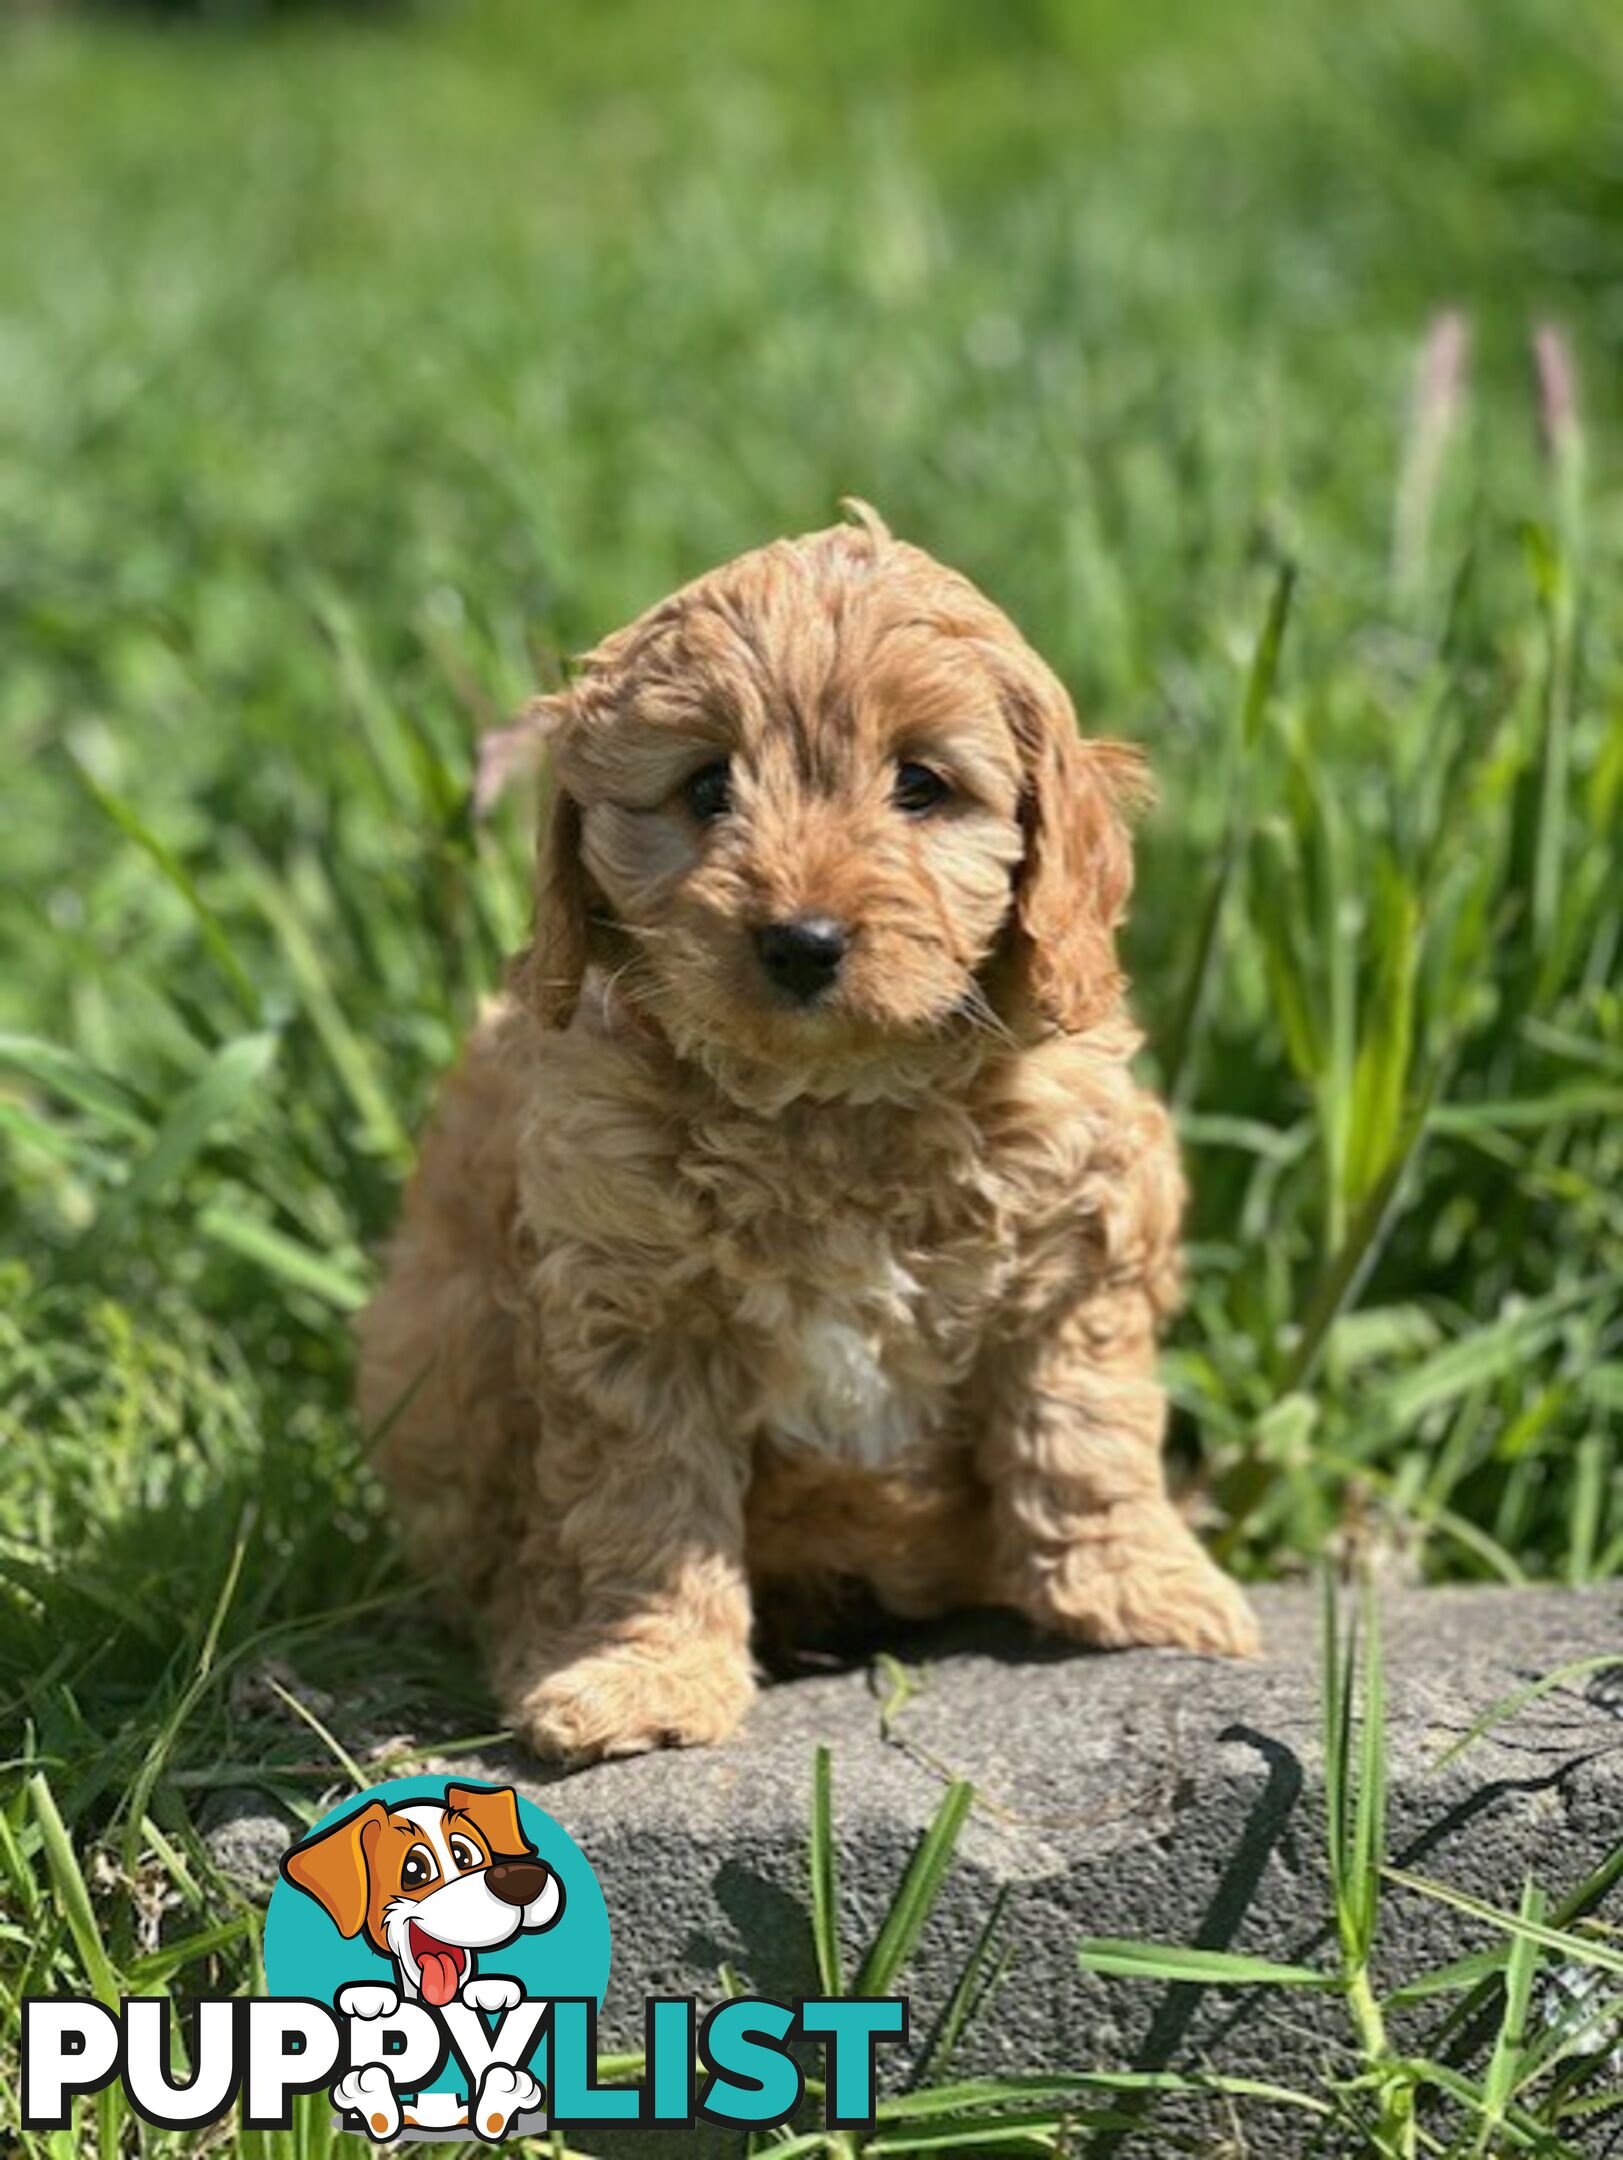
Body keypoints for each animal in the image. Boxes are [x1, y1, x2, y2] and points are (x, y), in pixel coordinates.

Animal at [360, 514, 1262, 1762]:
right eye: (706, 786)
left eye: (921, 786)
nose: (803, 940)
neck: (832, 1106)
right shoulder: (629, 1309)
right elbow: (646, 1511)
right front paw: (643, 1675)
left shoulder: (1077, 1250)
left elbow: (1086, 1432)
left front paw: (1144, 1591)